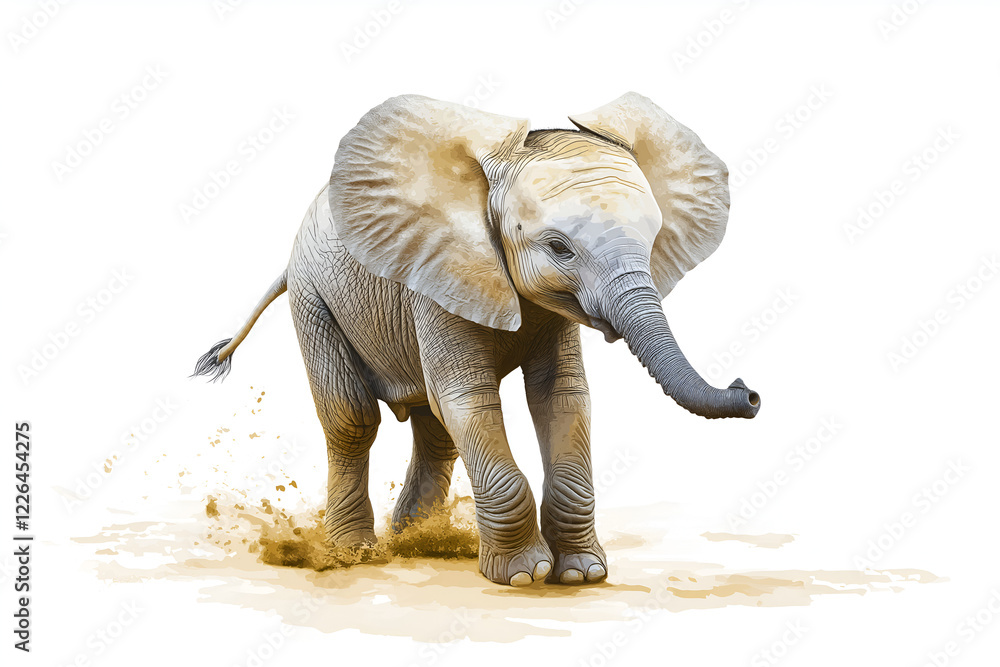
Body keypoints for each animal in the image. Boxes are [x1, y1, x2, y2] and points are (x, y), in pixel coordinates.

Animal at [193, 92, 760, 587]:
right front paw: (525, 575)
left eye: (653, 238)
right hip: (314, 299)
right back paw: (354, 553)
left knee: (433, 423)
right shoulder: (437, 273)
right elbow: (470, 399)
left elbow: (561, 397)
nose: (748, 392)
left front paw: (581, 574)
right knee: (352, 419)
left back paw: (420, 540)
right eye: (559, 248)